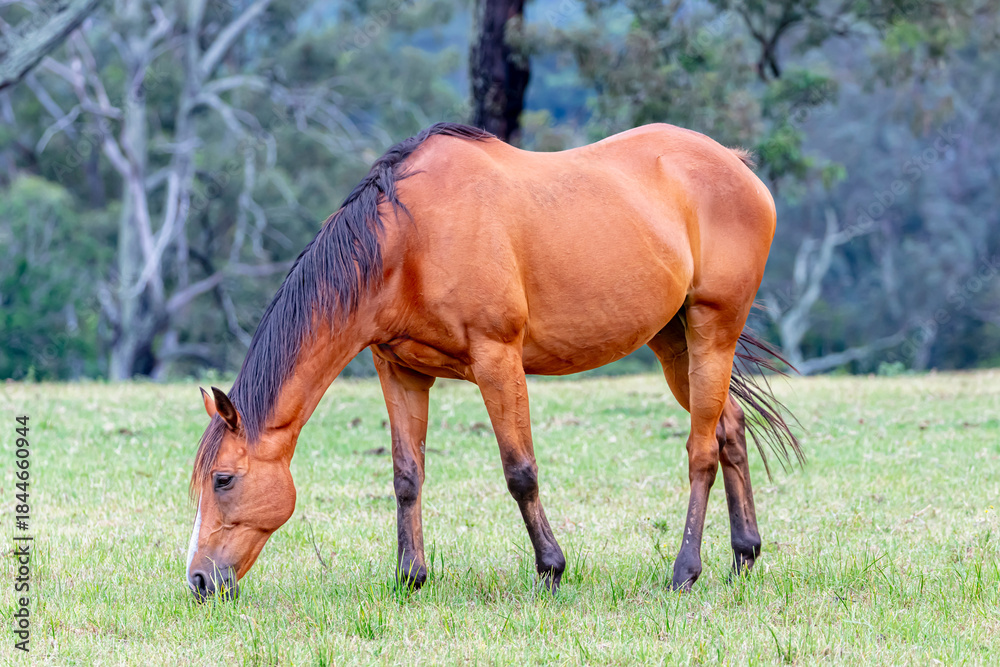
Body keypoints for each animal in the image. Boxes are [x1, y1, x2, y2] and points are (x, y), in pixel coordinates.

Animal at [186, 122, 800, 601]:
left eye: (222, 479)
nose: (198, 581)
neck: (409, 241)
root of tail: (736, 164)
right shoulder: (400, 371)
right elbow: (406, 475)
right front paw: (410, 577)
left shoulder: (496, 359)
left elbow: (520, 471)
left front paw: (551, 569)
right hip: (674, 342)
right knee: (729, 428)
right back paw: (744, 556)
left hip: (713, 328)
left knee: (701, 451)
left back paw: (684, 572)